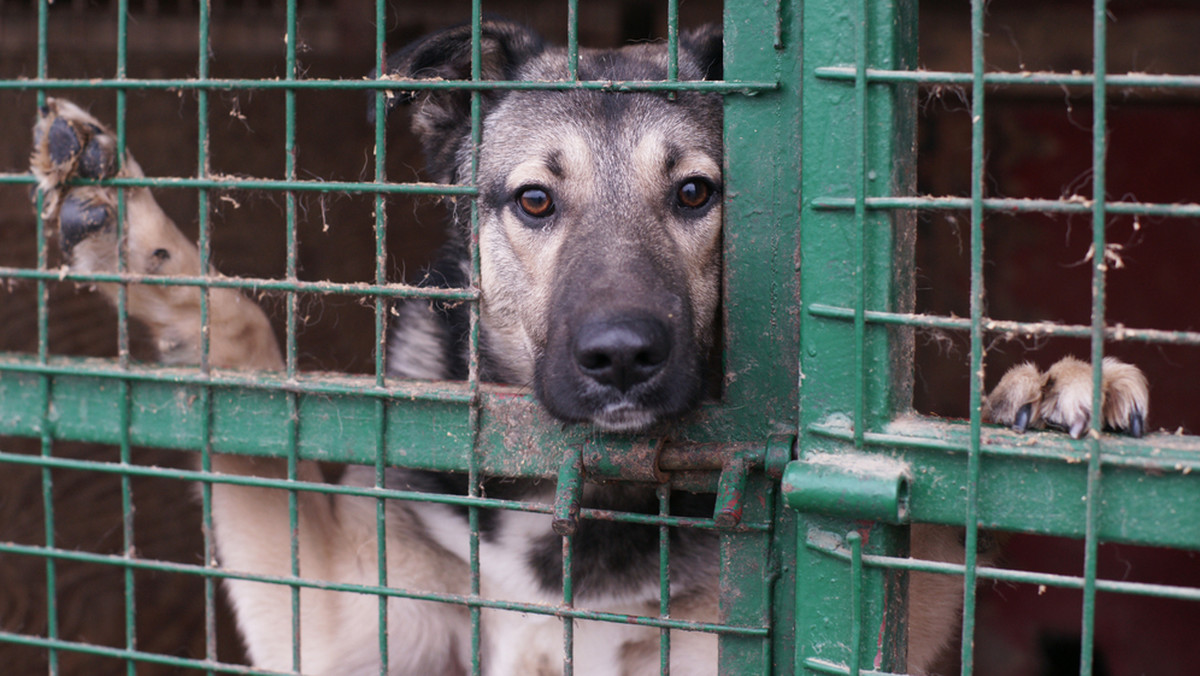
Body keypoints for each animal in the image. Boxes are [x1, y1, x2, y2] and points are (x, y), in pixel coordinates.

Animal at [30, 18, 1152, 672]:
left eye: (695, 193)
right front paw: (136, 240)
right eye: (534, 201)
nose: (621, 357)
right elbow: (248, 384)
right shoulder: (343, 626)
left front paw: (1052, 385)